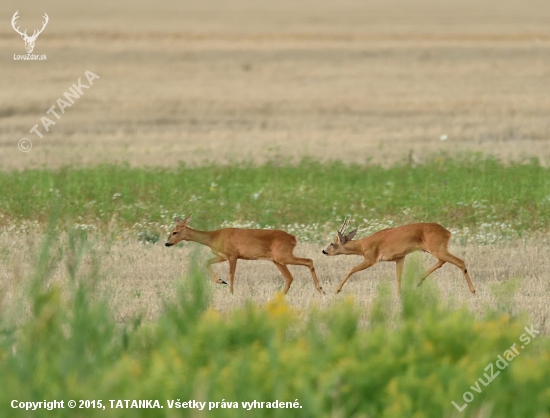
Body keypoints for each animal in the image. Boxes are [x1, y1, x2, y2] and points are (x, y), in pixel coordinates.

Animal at [166, 216, 326, 294]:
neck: (214, 238)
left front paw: (230, 292)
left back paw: (320, 290)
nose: (167, 243)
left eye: (175, 232)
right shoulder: (223, 255)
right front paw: (220, 281)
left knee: (308, 261)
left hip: (283, 255)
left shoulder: (232, 255)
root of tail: (294, 238)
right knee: (289, 277)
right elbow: (207, 262)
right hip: (277, 260)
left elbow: (232, 275)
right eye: (171, 231)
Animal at [322, 219, 476, 294]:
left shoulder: (371, 257)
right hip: (437, 248)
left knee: (459, 261)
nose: (324, 251)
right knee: (443, 261)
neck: (363, 245)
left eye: (332, 243)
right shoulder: (399, 257)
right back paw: (419, 280)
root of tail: (448, 232)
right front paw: (400, 294)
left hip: (436, 247)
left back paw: (473, 290)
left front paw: (337, 290)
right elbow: (398, 277)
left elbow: (352, 269)